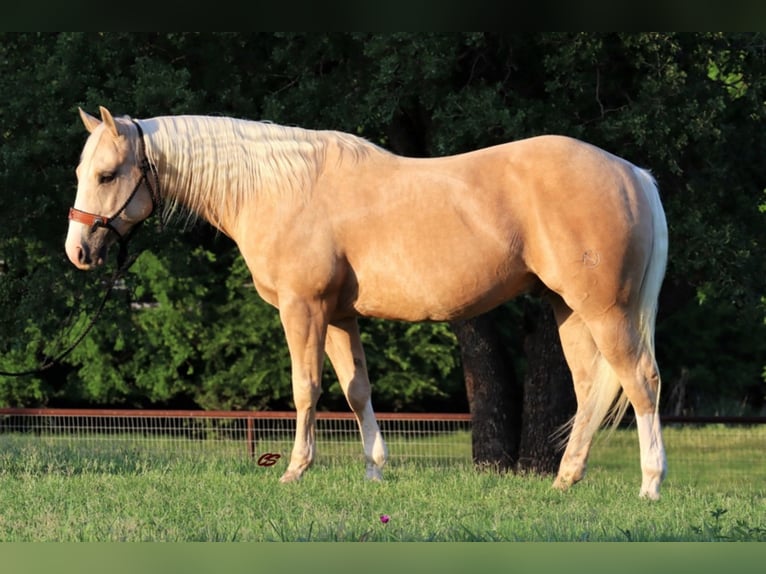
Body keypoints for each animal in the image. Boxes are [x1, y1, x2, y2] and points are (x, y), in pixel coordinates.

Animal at [66, 107, 668, 500]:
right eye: (81, 172)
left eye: (106, 174)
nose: (78, 251)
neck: (280, 189)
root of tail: (633, 174)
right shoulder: (338, 316)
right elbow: (357, 391)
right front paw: (375, 471)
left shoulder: (303, 309)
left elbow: (306, 388)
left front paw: (295, 470)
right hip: (570, 311)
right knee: (591, 390)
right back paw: (566, 479)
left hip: (607, 312)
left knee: (641, 382)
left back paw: (650, 485)